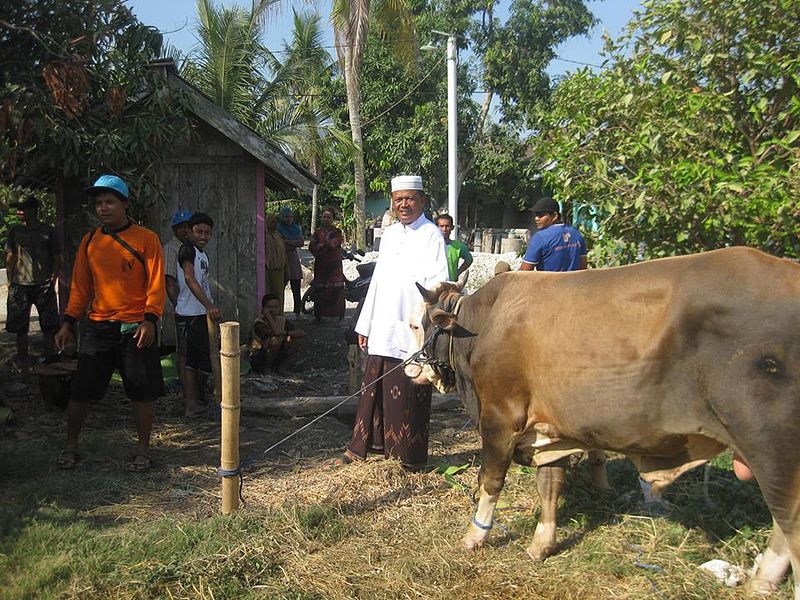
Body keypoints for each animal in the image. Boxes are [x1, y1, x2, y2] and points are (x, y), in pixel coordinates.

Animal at [406, 247, 800, 596]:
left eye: (419, 324)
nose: (411, 368)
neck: (483, 324)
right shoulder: (550, 431)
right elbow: (550, 485)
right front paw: (541, 544)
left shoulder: (500, 417)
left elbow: (490, 481)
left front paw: (474, 537)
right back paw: (761, 583)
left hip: (772, 451)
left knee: (790, 527)